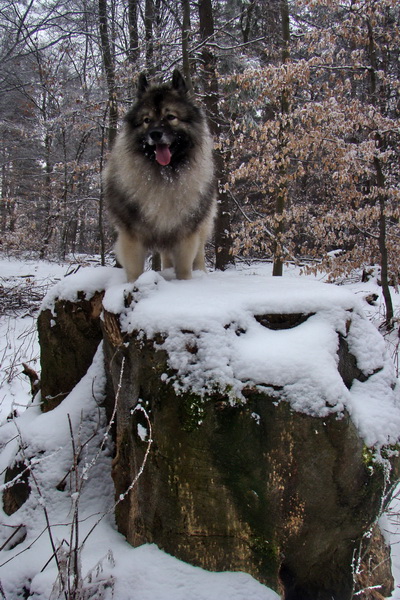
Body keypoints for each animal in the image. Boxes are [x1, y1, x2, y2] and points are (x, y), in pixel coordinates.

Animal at [103, 69, 216, 282]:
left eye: (171, 117)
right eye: (146, 120)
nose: (155, 134)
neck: (163, 176)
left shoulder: (186, 235)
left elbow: (185, 269)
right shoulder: (132, 237)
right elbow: (135, 271)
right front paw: (133, 285)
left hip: (201, 226)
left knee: (199, 254)